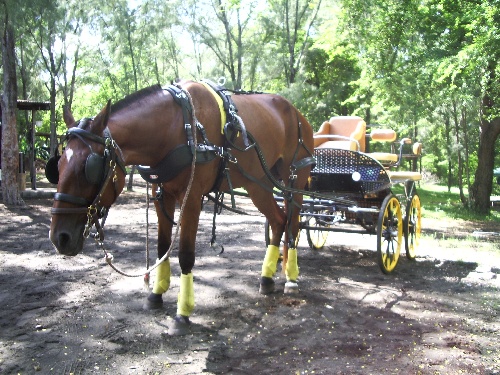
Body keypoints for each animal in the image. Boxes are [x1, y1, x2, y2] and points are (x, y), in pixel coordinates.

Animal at [47, 80, 312, 334]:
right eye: (57, 166)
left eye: (88, 168)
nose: (60, 238)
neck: (177, 126)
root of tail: (297, 113)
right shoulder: (161, 195)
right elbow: (163, 247)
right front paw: (156, 294)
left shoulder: (192, 197)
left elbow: (185, 255)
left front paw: (182, 313)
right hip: (258, 183)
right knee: (278, 220)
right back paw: (267, 278)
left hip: (294, 180)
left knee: (293, 223)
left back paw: (291, 276)